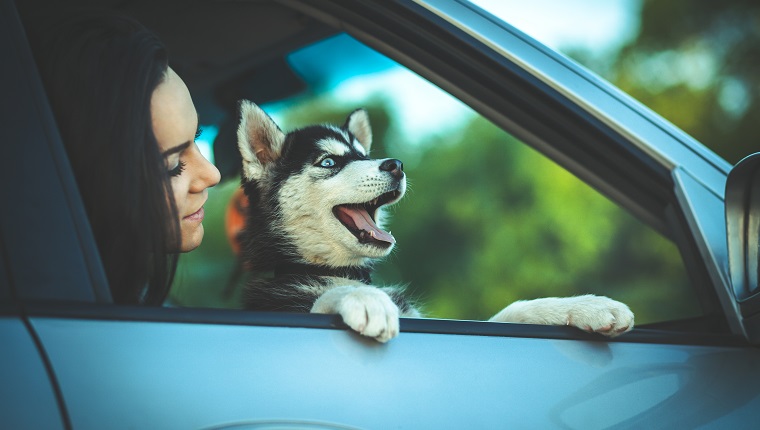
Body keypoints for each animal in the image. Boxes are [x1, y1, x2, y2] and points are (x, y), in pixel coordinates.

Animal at [238, 101, 636, 342]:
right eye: (328, 162)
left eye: (363, 155)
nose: (396, 164)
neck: (333, 270)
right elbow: (330, 298)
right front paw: (362, 298)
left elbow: (514, 310)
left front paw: (586, 306)